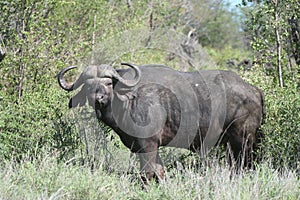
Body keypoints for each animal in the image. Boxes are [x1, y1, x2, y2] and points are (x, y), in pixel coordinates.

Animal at [57, 63, 264, 182]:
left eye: (108, 83)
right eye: (88, 85)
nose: (98, 98)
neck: (128, 101)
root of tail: (253, 89)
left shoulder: (147, 144)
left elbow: (147, 173)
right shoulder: (148, 147)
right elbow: (159, 171)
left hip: (243, 140)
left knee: (245, 164)